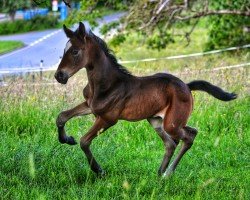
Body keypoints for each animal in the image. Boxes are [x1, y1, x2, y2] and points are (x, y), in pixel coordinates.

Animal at [54, 22, 236, 177]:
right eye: (63, 51)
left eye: (75, 51)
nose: (59, 76)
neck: (107, 84)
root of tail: (186, 86)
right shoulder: (89, 106)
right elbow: (61, 116)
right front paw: (66, 139)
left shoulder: (108, 118)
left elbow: (84, 141)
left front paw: (99, 170)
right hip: (157, 120)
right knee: (173, 142)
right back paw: (160, 172)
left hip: (171, 123)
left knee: (189, 136)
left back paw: (168, 173)